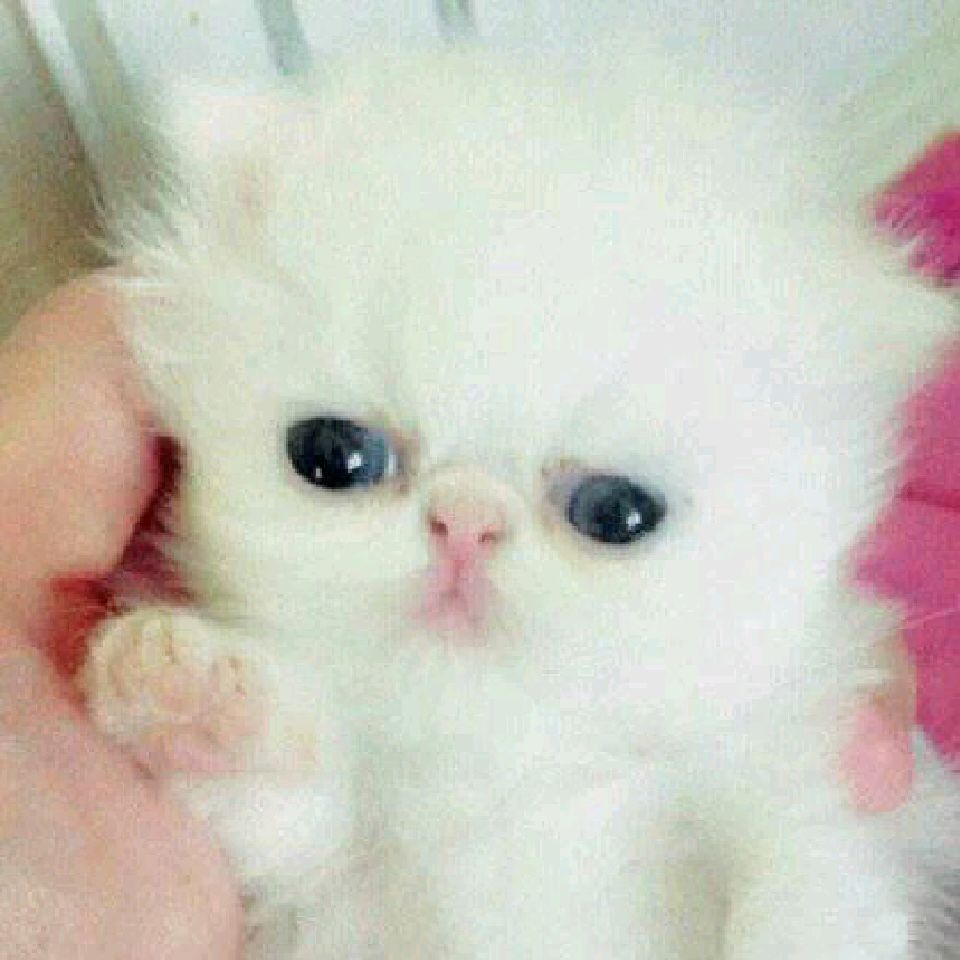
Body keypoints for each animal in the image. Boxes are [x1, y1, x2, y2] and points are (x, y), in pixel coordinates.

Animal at [82, 38, 959, 959]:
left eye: (615, 513)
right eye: (333, 457)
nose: (465, 520)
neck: (499, 772)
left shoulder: (803, 777)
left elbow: (807, 876)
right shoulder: (319, 879)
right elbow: (282, 803)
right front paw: (183, 686)